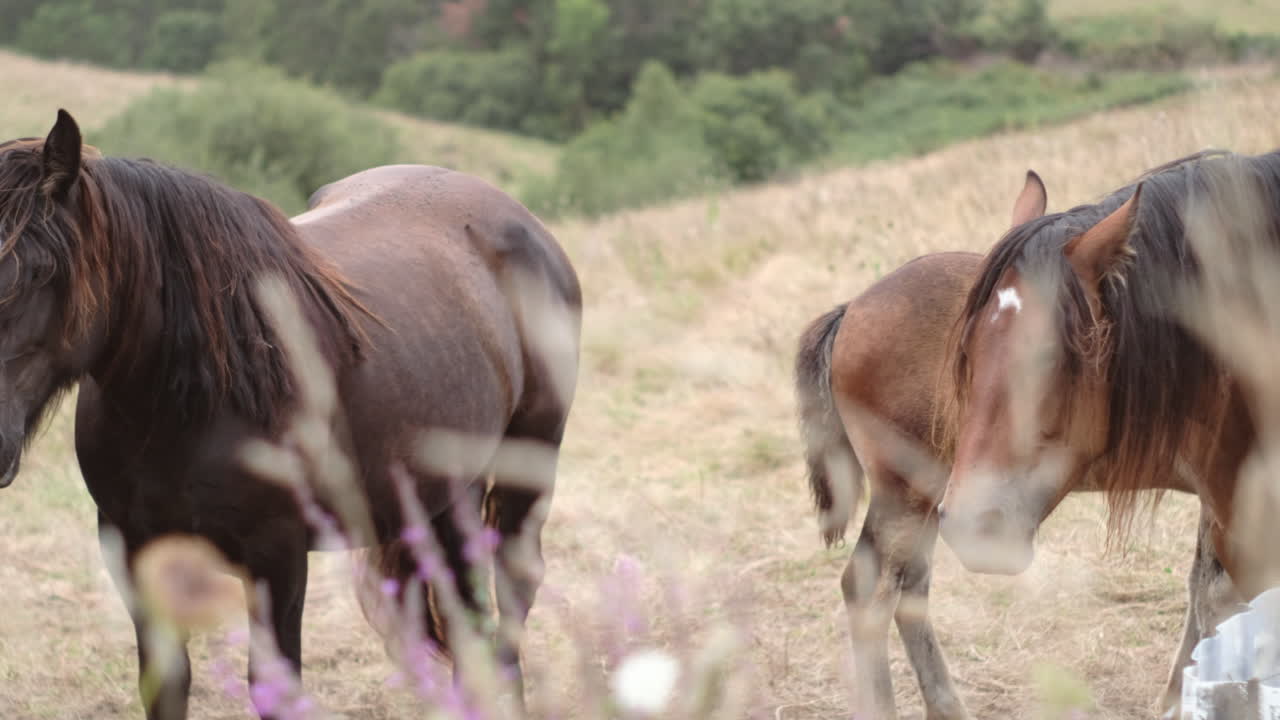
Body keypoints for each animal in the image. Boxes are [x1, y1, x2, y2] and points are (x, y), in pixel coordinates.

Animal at [0, 110, 581, 719]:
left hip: (528, 469)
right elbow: (166, 684)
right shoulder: (134, 551)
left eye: (40, 272)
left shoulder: (277, 557)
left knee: (511, 599)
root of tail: (524, 225)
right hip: (446, 493)